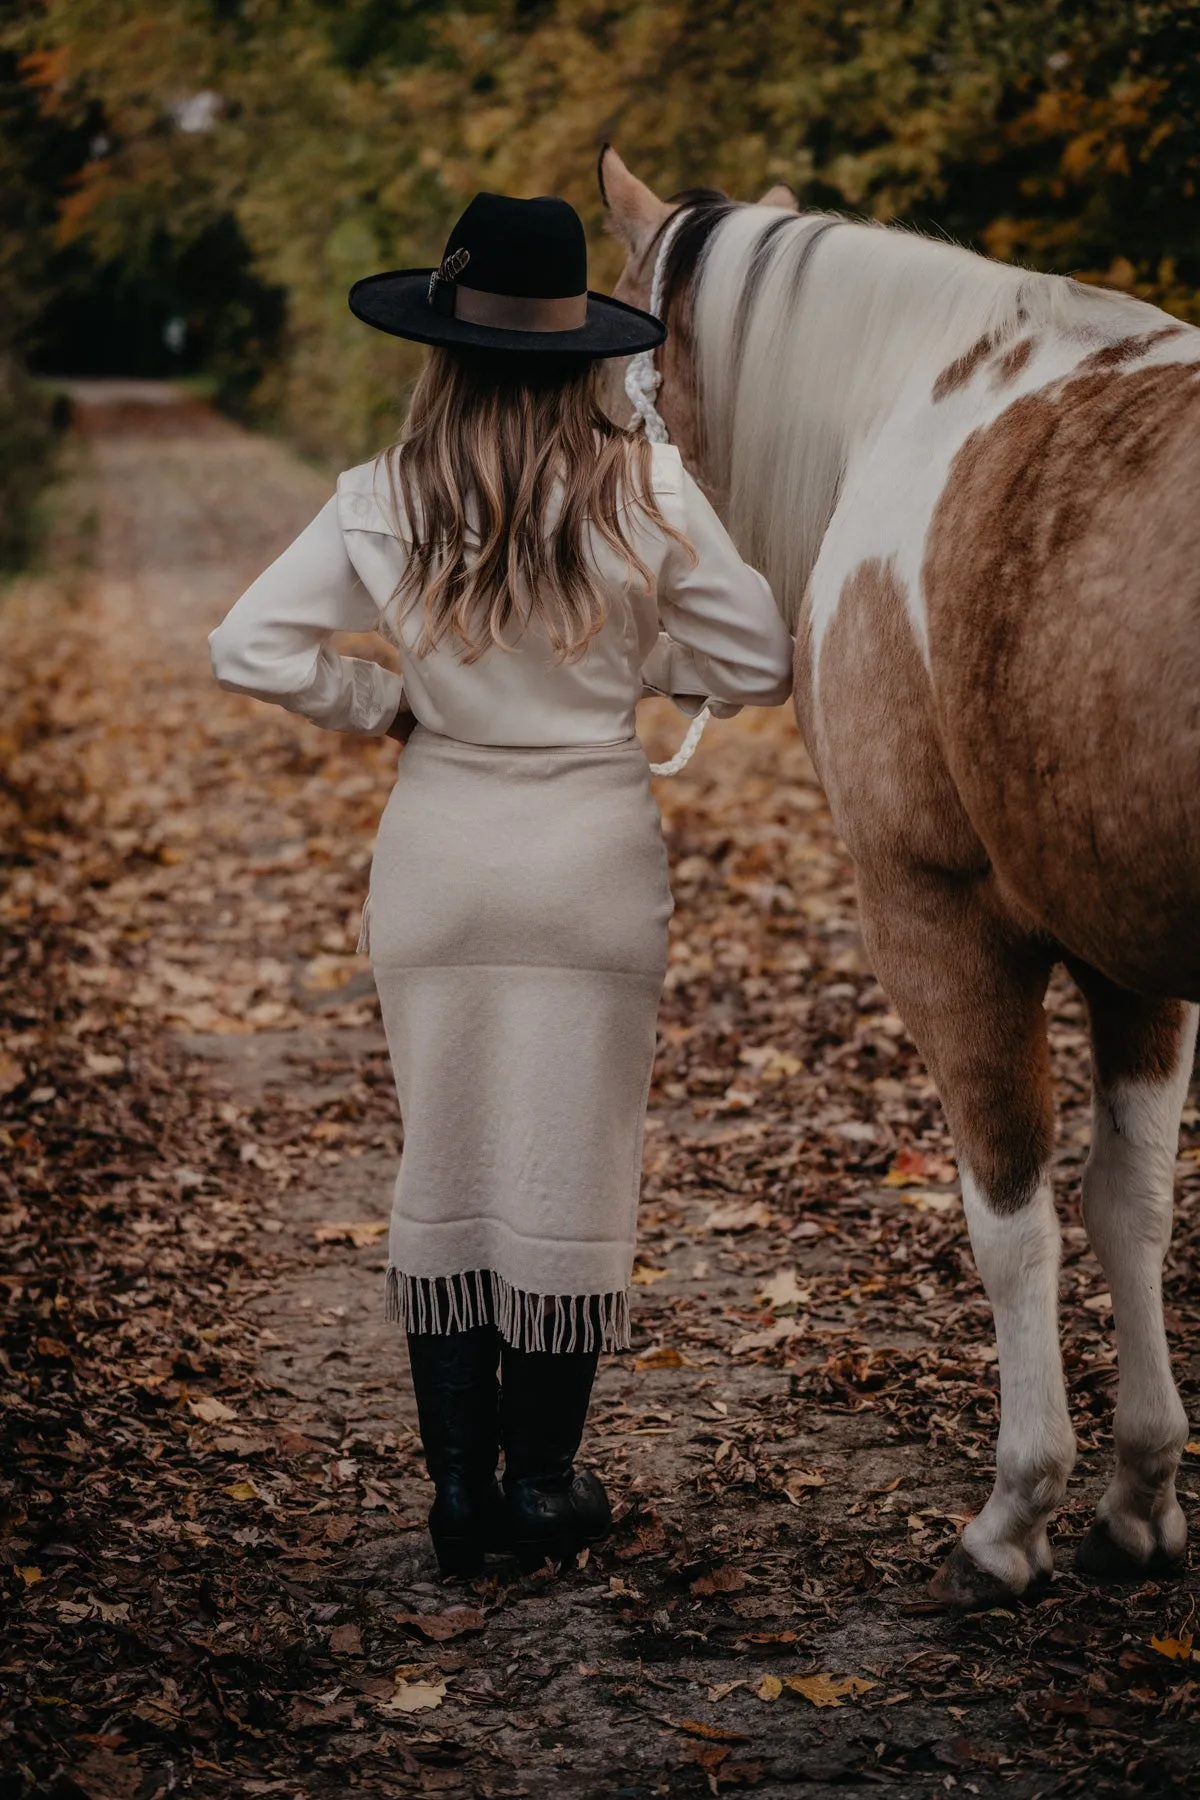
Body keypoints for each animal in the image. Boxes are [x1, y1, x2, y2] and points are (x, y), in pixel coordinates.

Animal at [600, 140, 1200, 1605]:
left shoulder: (938, 918)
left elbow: (1011, 1215)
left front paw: (1015, 1512)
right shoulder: (1133, 952)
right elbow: (1129, 1204)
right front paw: (1139, 1496)